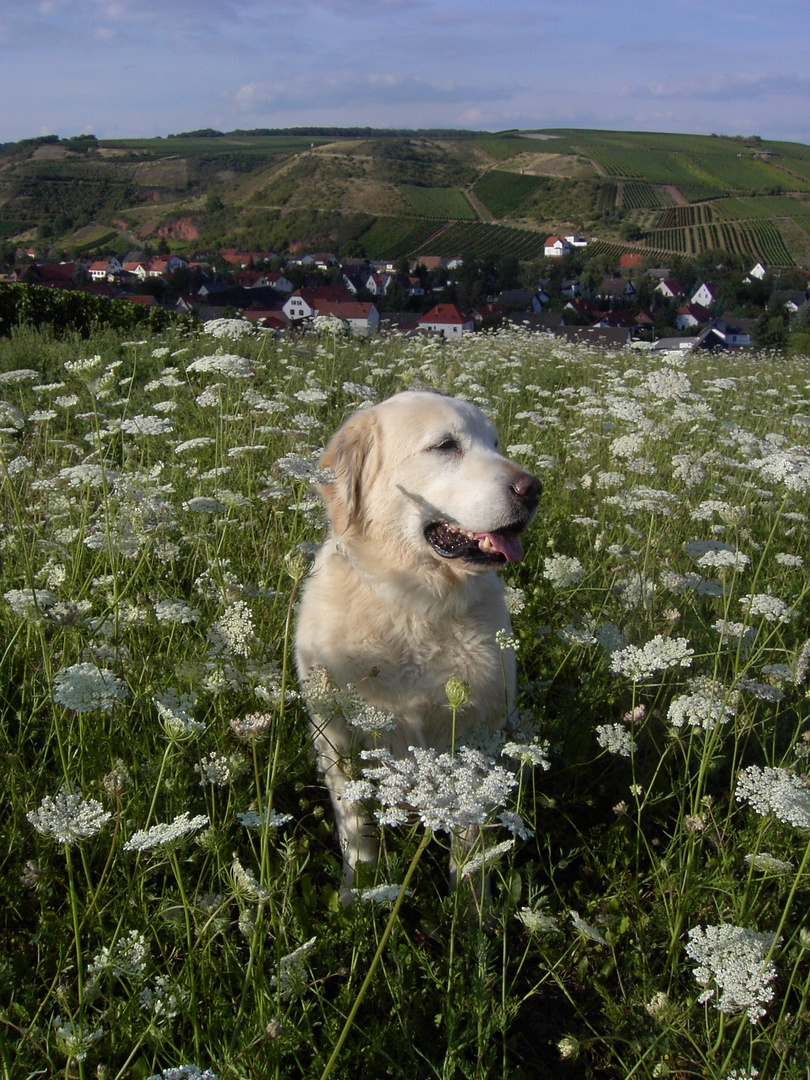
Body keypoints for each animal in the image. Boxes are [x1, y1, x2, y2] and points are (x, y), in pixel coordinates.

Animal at [295, 388, 542, 894]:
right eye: (446, 445)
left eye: (494, 443)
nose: (533, 489)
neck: (415, 605)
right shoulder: (336, 739)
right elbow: (357, 826)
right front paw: (360, 893)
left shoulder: (476, 736)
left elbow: (469, 843)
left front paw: (469, 907)